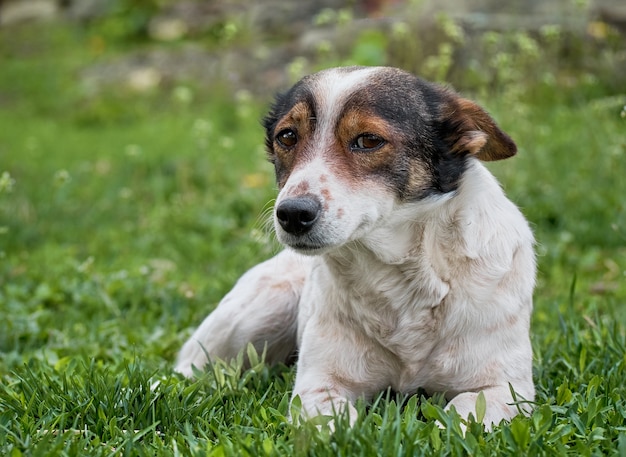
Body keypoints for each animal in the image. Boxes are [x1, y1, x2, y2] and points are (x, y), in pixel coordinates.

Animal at [173, 66, 532, 430]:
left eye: (369, 140)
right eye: (287, 137)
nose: (292, 214)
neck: (402, 275)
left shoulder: (508, 389)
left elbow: (460, 414)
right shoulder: (319, 385)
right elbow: (336, 424)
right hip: (258, 312)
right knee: (191, 365)